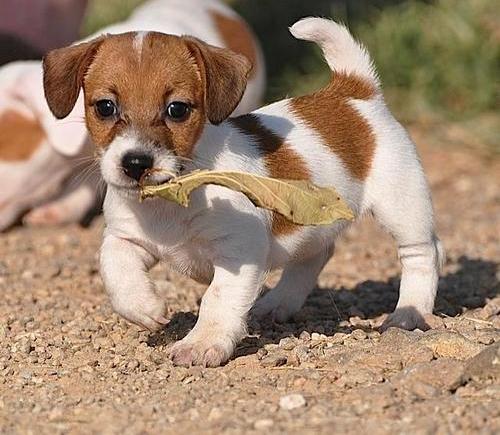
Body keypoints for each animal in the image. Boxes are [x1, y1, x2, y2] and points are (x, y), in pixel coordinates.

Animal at [42, 17, 442, 368]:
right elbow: (114, 269)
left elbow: (217, 299)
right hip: (312, 221)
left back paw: (408, 314)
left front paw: (202, 343)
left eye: (177, 109)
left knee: (423, 253)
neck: (175, 195)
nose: (136, 163)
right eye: (105, 107)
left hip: (400, 205)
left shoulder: (239, 252)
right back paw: (278, 303)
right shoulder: (124, 237)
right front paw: (144, 306)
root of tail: (353, 92)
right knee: (316, 254)